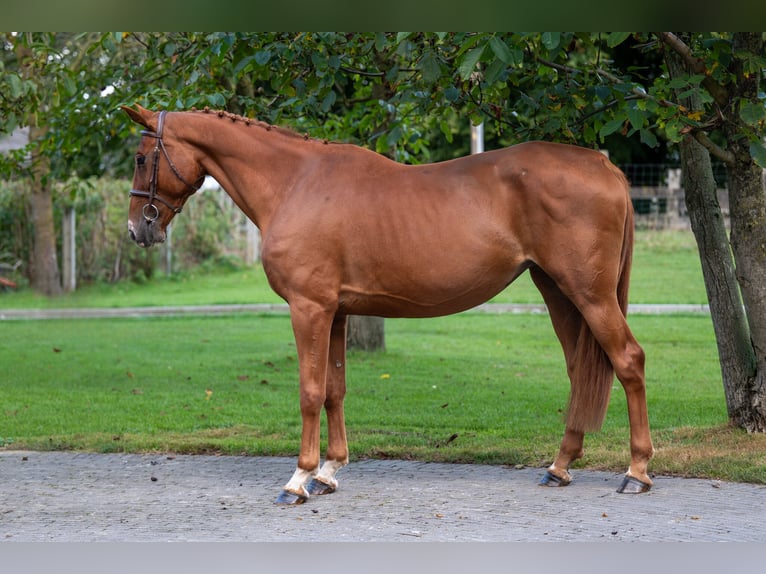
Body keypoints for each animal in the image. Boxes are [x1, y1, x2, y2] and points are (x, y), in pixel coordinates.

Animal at [124, 106, 656, 506]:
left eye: (141, 157)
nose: (137, 229)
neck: (295, 183)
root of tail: (604, 166)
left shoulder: (308, 309)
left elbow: (309, 392)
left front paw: (298, 480)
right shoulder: (335, 312)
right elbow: (334, 390)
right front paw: (329, 471)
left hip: (589, 295)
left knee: (628, 361)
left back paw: (637, 471)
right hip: (558, 292)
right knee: (580, 371)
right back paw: (560, 467)